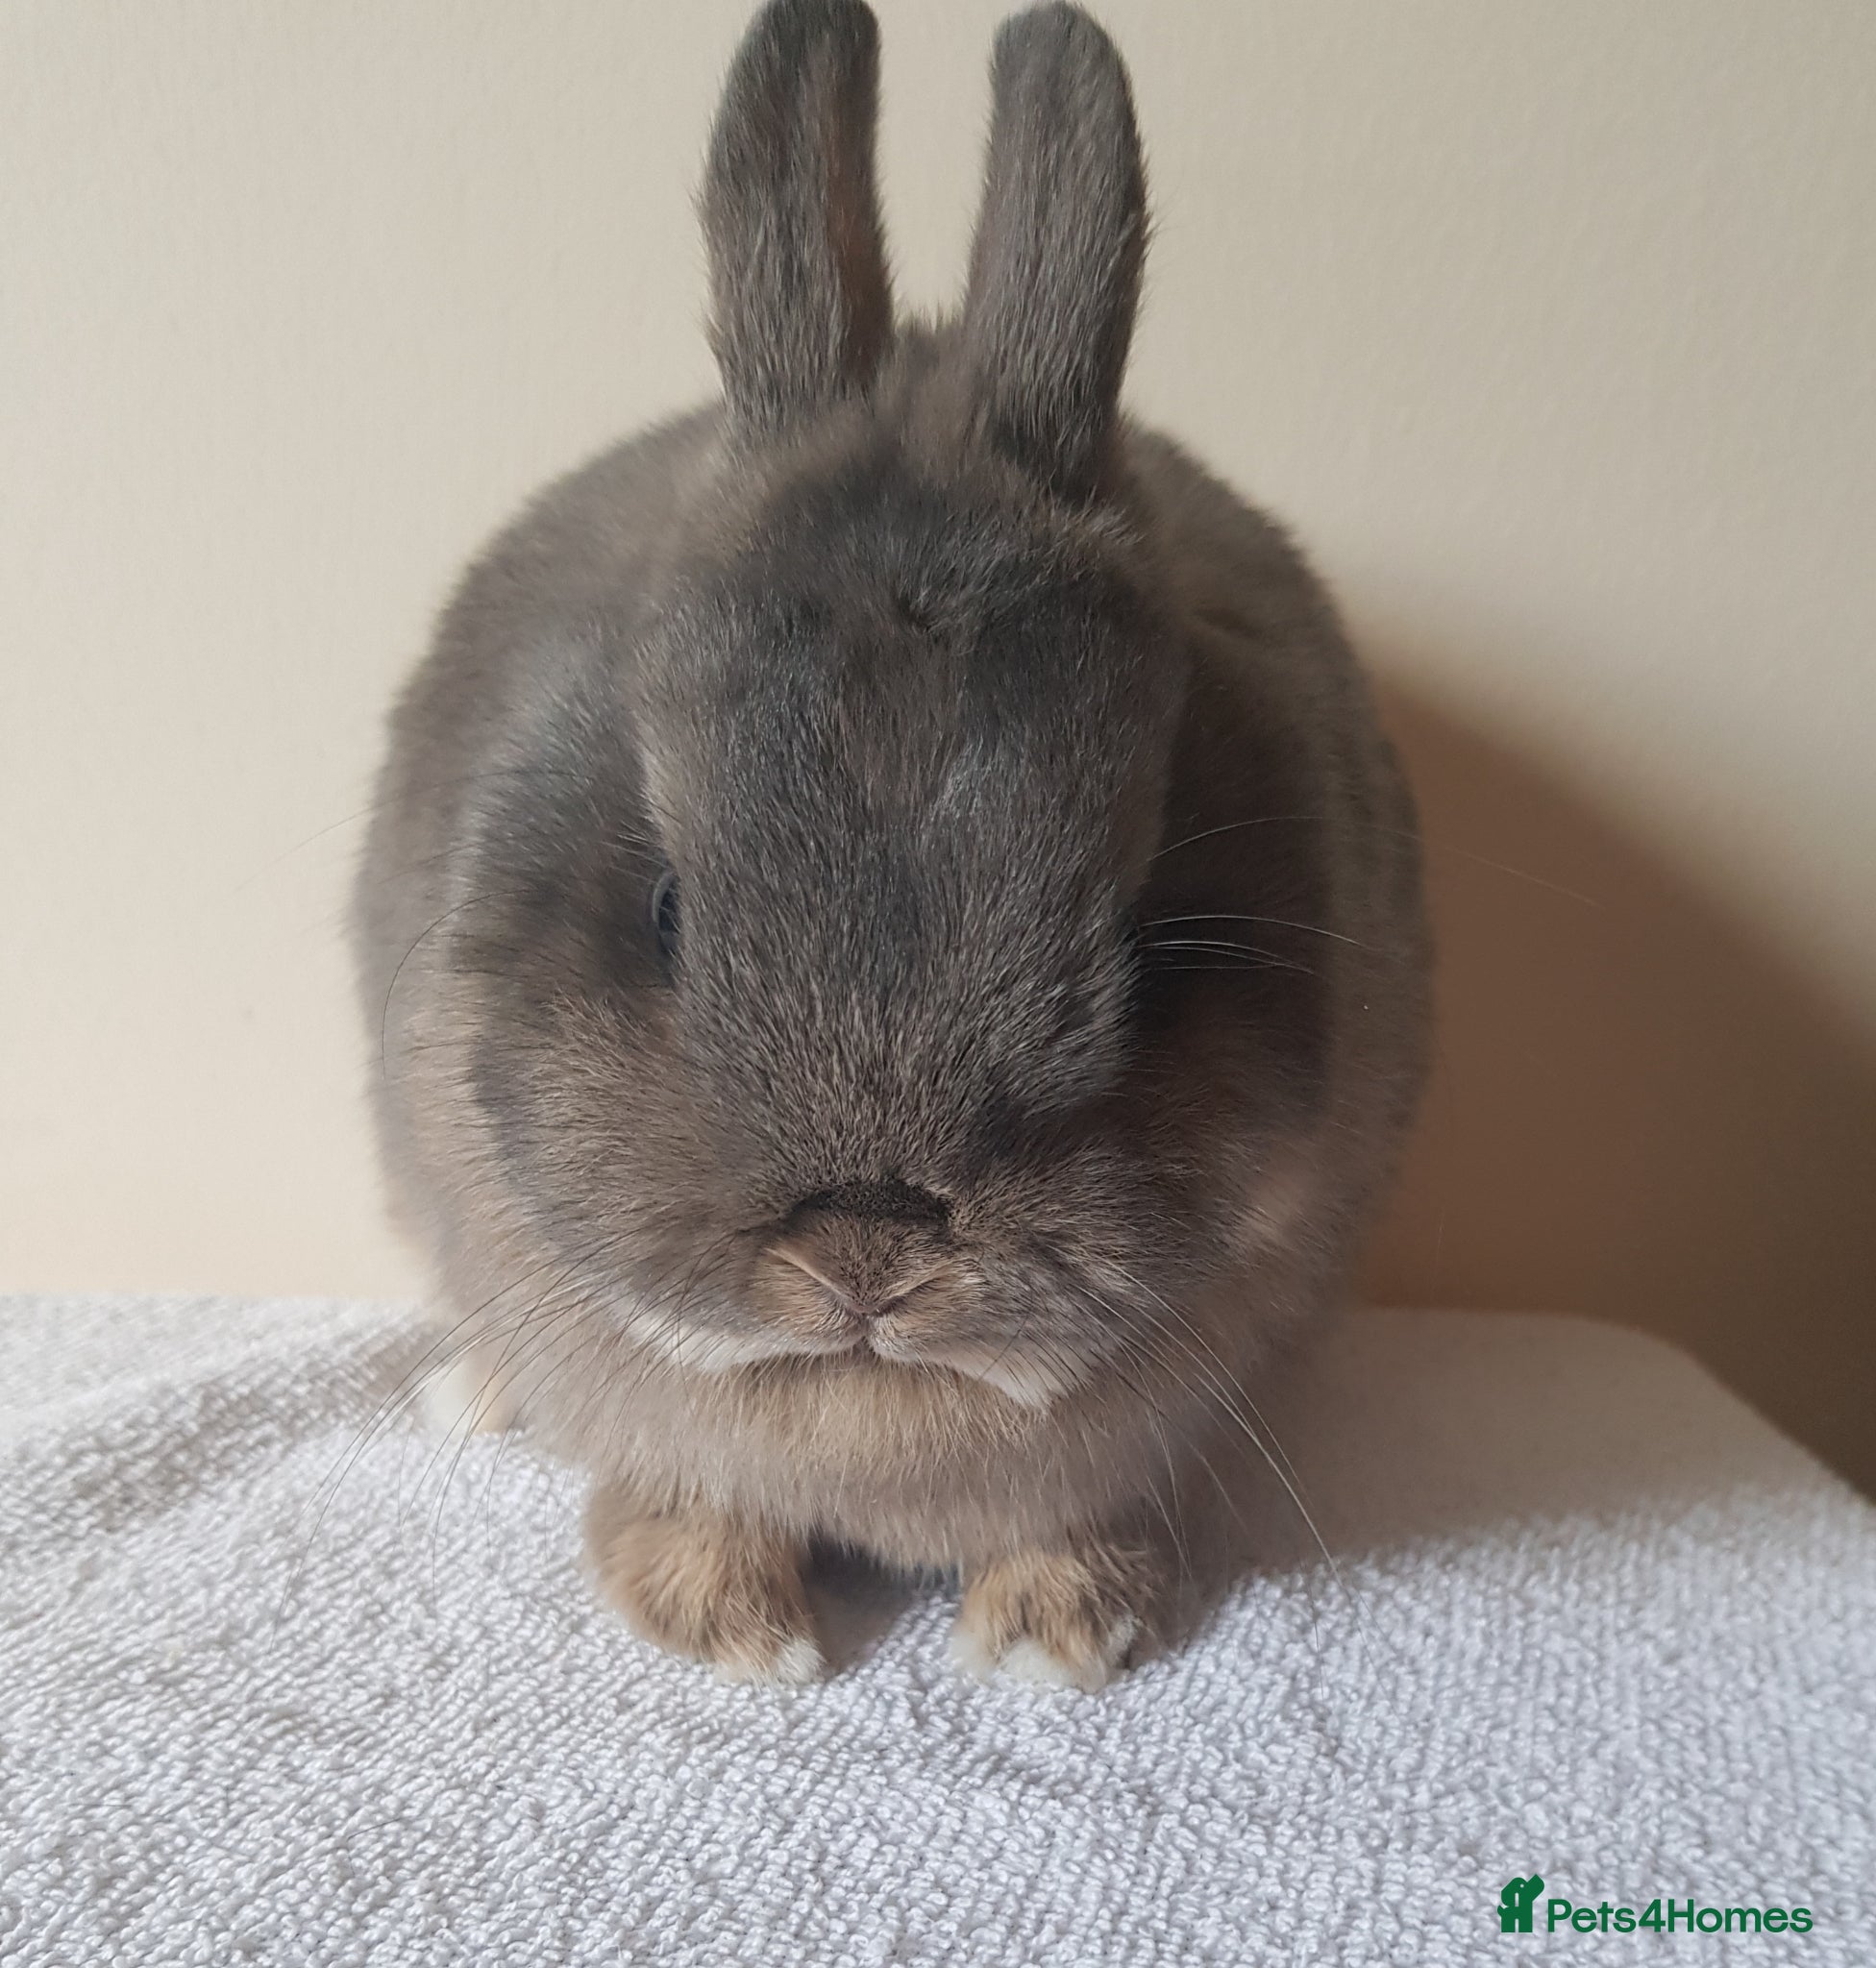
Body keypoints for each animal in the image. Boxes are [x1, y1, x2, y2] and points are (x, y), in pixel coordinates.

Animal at [352, 0, 1431, 1691]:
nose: (867, 1263)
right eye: (666, 911)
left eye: (1146, 948)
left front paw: (1066, 1631)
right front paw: (736, 1633)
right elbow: (690, 1493)